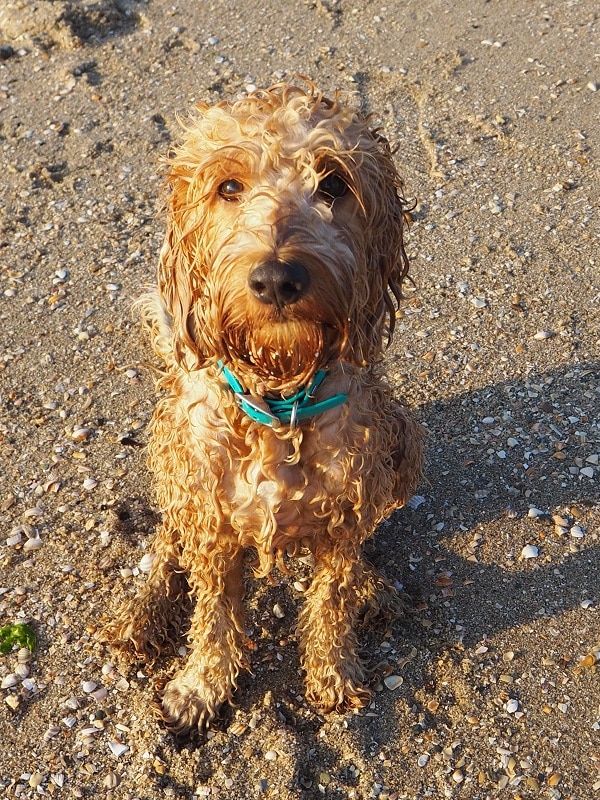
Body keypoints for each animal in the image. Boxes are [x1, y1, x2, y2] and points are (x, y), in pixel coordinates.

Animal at [105, 81, 424, 736]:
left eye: (333, 183)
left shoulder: (345, 511)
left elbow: (331, 600)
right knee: (166, 544)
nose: (277, 278)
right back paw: (142, 616)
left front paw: (333, 673)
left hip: (405, 439)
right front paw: (201, 685)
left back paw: (373, 588)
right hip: (173, 464)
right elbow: (214, 615)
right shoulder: (210, 519)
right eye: (229, 187)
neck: (279, 401)